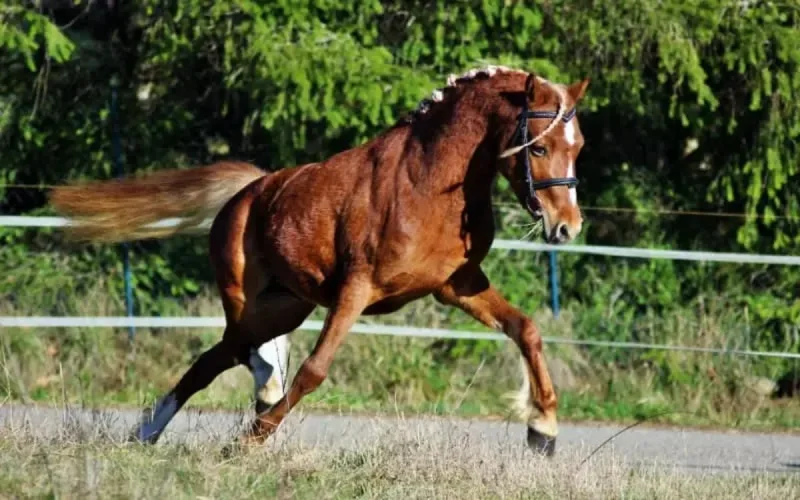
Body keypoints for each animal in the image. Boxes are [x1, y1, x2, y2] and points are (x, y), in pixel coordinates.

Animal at [50, 65, 589, 456]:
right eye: (539, 147)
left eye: (577, 146)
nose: (568, 226)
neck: (428, 183)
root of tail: (248, 192)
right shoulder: (356, 288)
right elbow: (314, 370)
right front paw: (248, 440)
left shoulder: (456, 284)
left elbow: (526, 329)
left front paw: (543, 431)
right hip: (249, 299)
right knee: (230, 352)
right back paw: (221, 407)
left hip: (287, 304)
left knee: (222, 355)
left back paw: (153, 431)